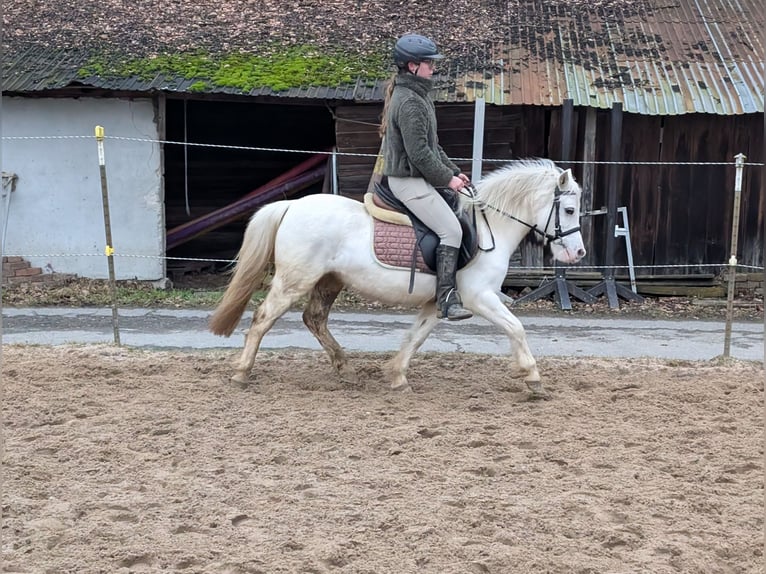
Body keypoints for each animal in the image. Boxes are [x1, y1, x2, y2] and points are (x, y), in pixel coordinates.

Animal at [209, 158, 586, 397]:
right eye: (569, 210)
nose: (579, 253)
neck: (488, 227)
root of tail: (292, 205)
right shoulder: (480, 297)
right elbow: (516, 328)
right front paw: (533, 377)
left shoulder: (438, 302)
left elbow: (415, 337)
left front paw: (397, 376)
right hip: (294, 281)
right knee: (261, 319)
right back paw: (242, 373)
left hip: (329, 280)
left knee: (313, 319)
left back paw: (345, 369)